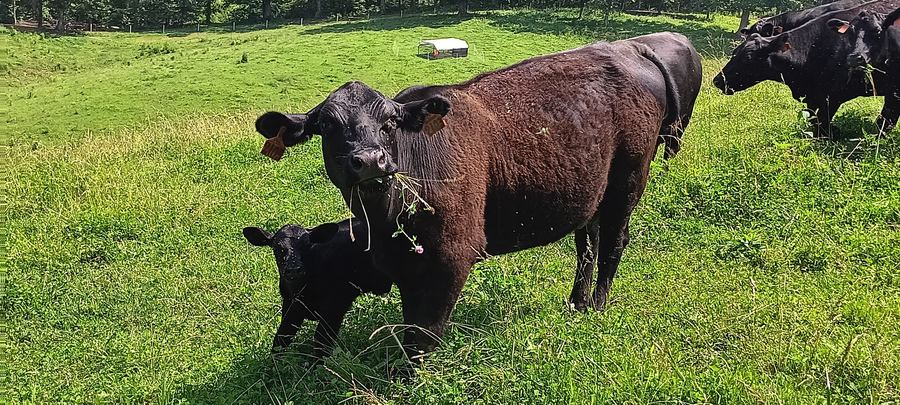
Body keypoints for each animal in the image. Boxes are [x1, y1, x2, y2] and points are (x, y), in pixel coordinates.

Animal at [242, 220, 392, 357]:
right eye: (277, 248)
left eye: (307, 246)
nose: (294, 270)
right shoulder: (291, 305)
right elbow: (282, 337)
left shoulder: (336, 305)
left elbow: (321, 341)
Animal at [714, 1, 899, 139]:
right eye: (734, 52)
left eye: (747, 57)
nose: (717, 80)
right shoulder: (814, 98)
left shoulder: (830, 97)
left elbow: (823, 127)